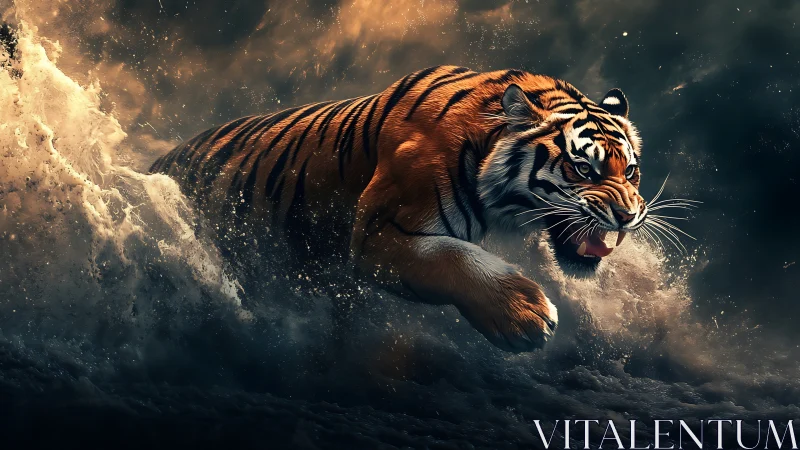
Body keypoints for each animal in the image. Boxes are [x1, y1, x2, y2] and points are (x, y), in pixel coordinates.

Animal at [150, 65, 646, 353]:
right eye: (582, 168)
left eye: (631, 171)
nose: (628, 217)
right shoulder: (379, 233)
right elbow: (457, 259)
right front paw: (525, 315)